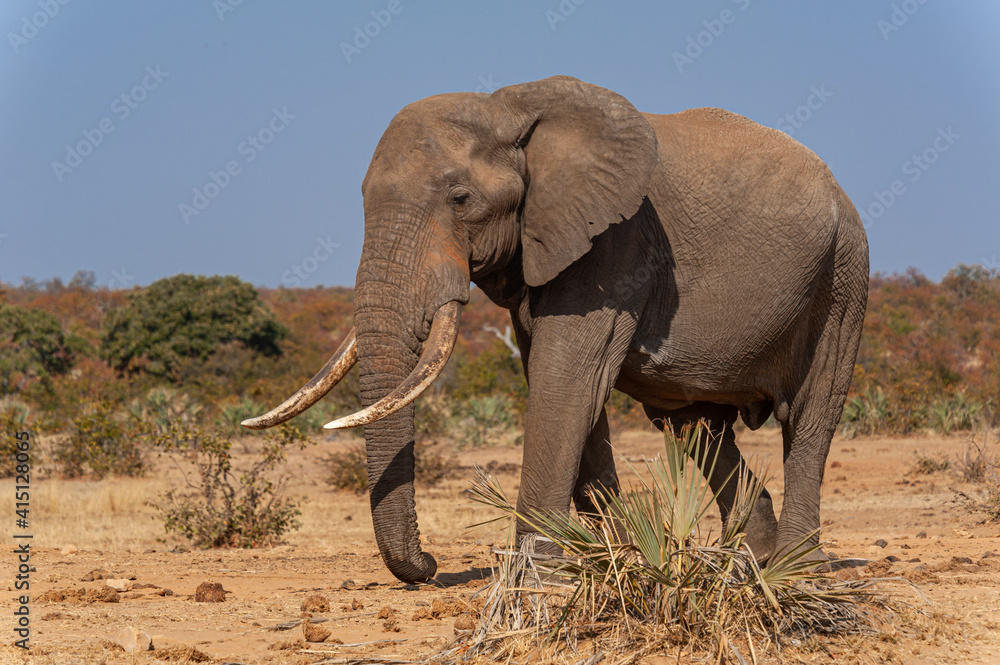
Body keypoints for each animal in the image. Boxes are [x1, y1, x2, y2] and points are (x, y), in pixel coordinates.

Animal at [242, 75, 868, 580]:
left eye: (460, 199)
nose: (431, 564)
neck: (507, 109)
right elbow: (566, 388)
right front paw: (612, 561)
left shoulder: (616, 241)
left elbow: (565, 382)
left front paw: (538, 578)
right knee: (695, 426)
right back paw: (749, 561)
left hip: (844, 276)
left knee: (810, 415)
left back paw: (796, 570)